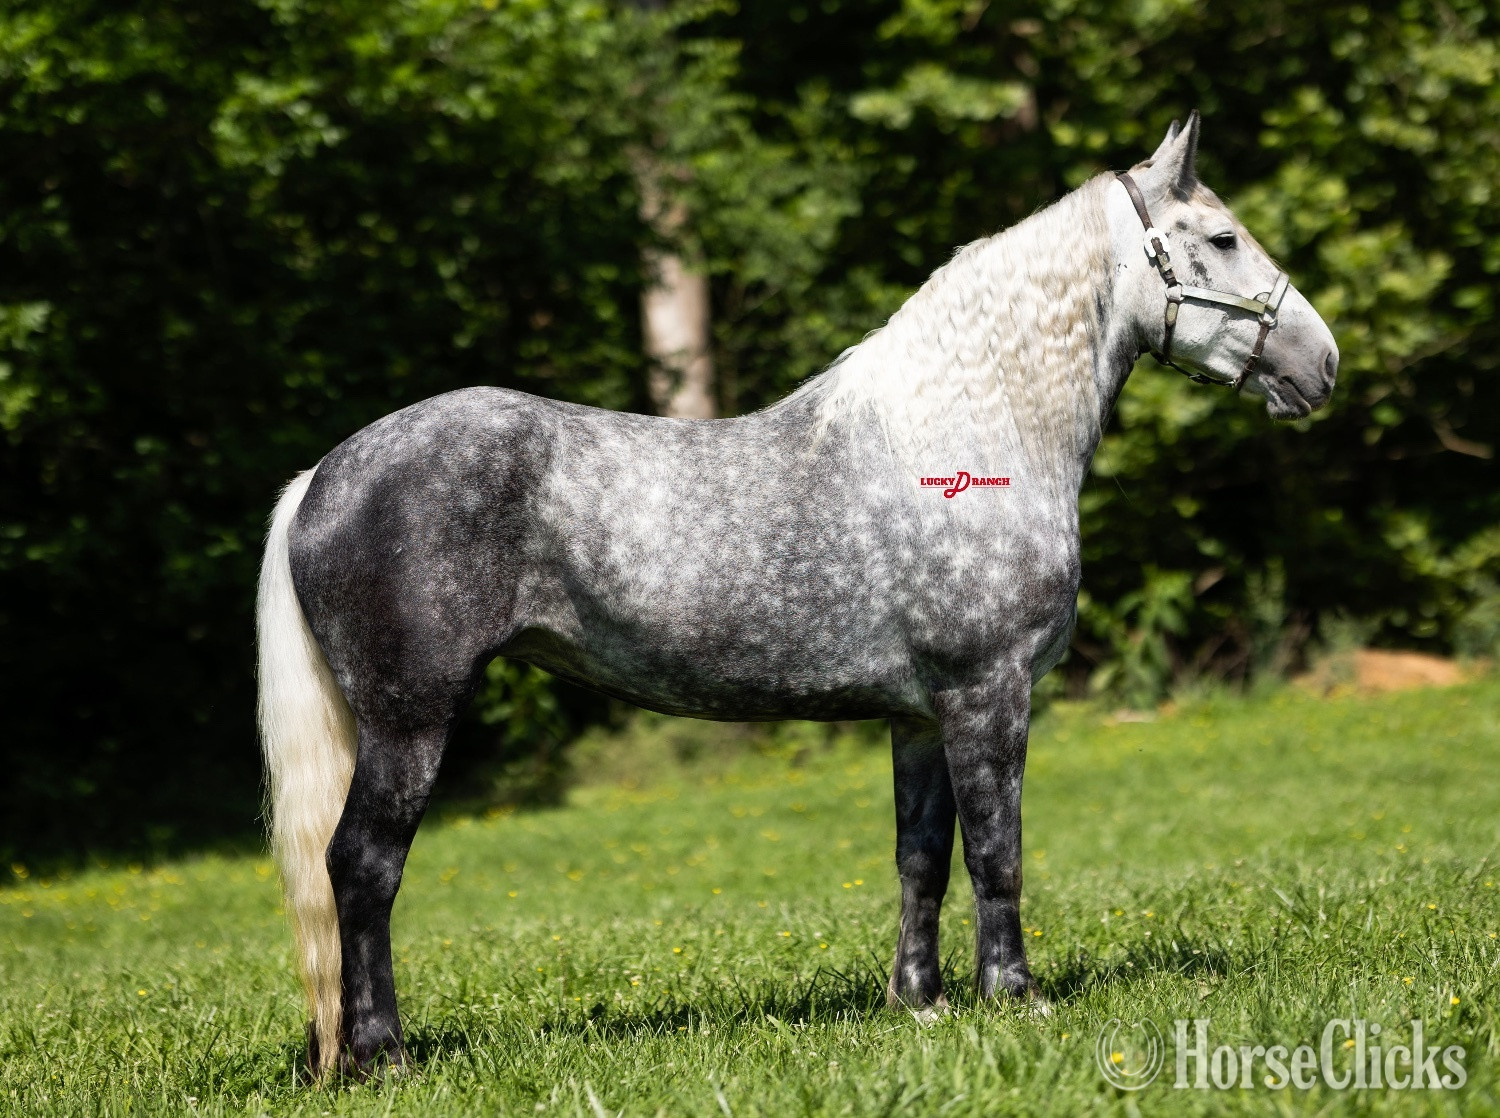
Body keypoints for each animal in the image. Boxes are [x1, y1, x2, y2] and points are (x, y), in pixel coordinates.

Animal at [257, 112, 1338, 1078]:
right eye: (1223, 238)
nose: (1322, 364)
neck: (965, 436)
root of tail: (321, 476)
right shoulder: (989, 694)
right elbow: (998, 851)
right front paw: (1015, 997)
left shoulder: (920, 715)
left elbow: (921, 858)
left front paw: (921, 1002)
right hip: (410, 722)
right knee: (361, 868)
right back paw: (384, 1057)